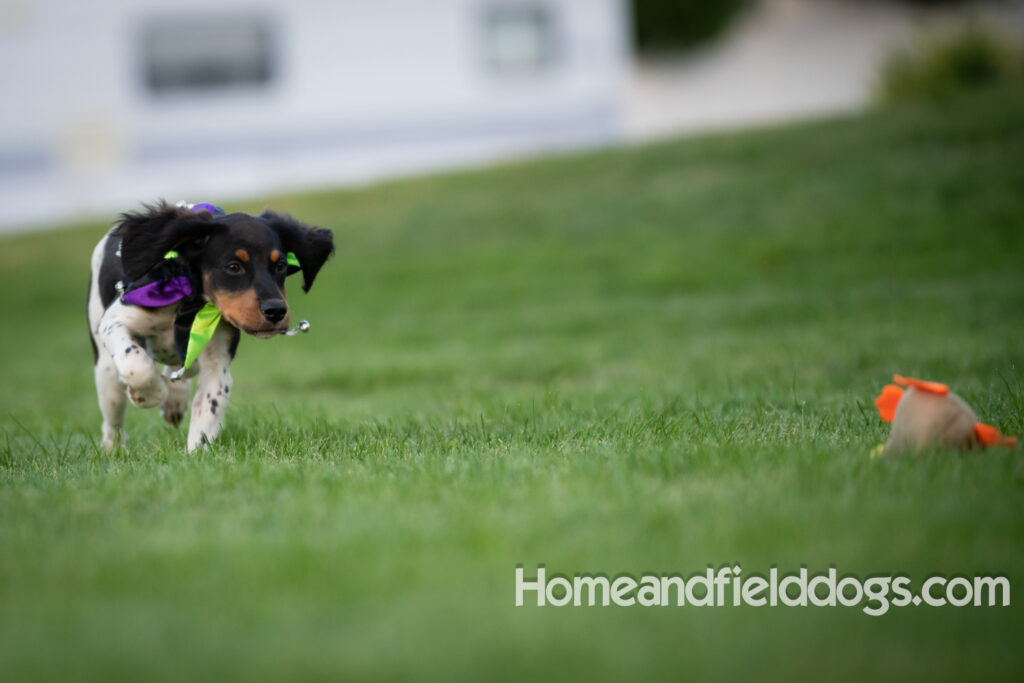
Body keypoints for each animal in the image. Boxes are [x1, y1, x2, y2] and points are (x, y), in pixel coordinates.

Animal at [85, 200, 331, 450]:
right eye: (233, 267)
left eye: (280, 265)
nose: (276, 310)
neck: (188, 300)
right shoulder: (115, 320)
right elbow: (137, 366)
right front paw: (149, 395)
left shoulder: (217, 363)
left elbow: (208, 412)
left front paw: (196, 453)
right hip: (105, 369)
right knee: (113, 418)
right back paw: (114, 447)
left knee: (182, 369)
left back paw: (175, 399)